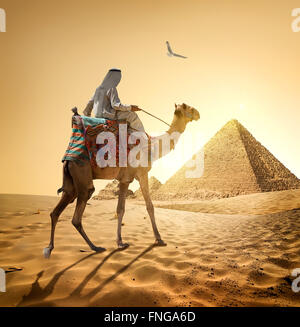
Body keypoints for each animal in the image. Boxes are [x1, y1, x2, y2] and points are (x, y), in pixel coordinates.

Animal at [44, 103, 199, 258]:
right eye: (188, 107)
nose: (198, 114)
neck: (152, 146)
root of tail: (68, 157)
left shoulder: (125, 179)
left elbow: (122, 209)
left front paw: (121, 242)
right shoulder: (139, 174)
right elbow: (147, 206)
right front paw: (158, 239)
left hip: (71, 181)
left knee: (56, 212)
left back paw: (50, 248)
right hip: (82, 175)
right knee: (77, 214)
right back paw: (95, 247)